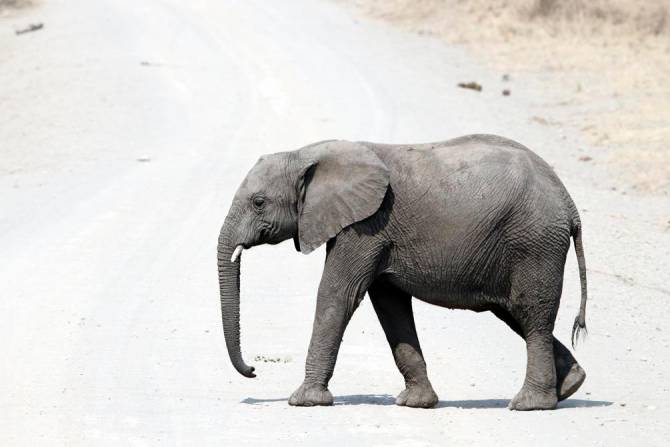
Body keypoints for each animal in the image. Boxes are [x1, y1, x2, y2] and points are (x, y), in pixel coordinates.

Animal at [219, 136, 588, 412]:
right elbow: (390, 305)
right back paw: (571, 385)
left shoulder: (366, 225)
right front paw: (416, 403)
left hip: (534, 243)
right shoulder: (375, 232)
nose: (253, 370)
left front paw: (304, 401)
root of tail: (569, 204)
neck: (307, 154)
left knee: (531, 313)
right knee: (514, 313)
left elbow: (338, 295)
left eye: (258, 202)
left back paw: (530, 404)